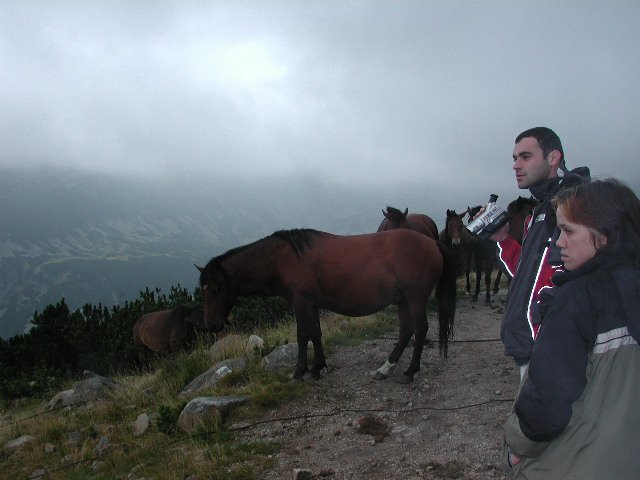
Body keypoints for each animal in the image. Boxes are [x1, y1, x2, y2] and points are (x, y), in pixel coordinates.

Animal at [196, 228, 457, 384]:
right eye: (203, 289)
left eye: (216, 289)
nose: (211, 324)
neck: (283, 258)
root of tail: (432, 242)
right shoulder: (311, 304)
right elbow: (316, 333)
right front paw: (317, 367)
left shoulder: (301, 303)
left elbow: (303, 336)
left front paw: (300, 372)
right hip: (402, 300)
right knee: (406, 331)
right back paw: (385, 368)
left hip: (415, 298)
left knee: (420, 329)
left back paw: (410, 371)